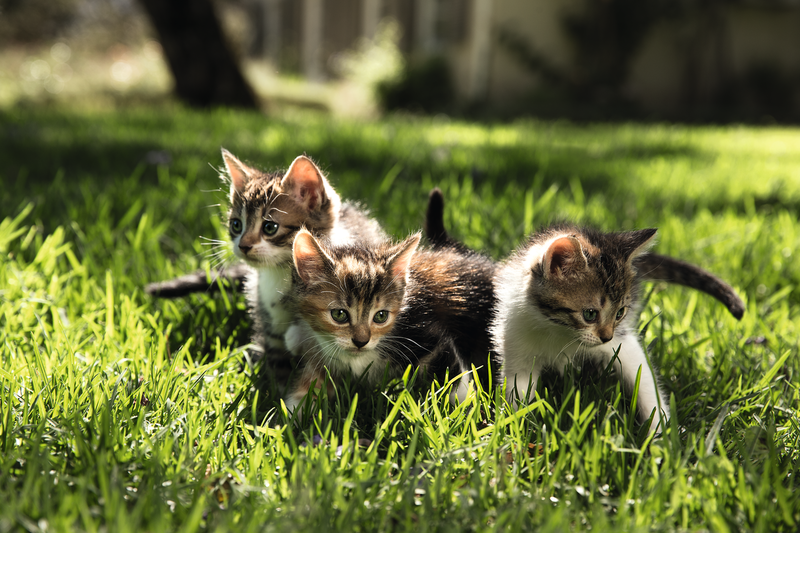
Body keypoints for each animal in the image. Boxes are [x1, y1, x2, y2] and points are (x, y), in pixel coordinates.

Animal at [278, 227, 496, 412]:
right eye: (339, 315)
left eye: (381, 316)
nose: (361, 341)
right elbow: (314, 380)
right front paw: (294, 414)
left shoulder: (423, 333)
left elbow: (455, 379)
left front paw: (470, 411)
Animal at [494, 224, 668, 432]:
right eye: (590, 314)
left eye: (620, 313)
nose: (607, 337)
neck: (559, 330)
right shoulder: (516, 338)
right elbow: (518, 388)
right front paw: (517, 427)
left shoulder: (623, 342)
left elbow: (643, 378)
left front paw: (660, 430)